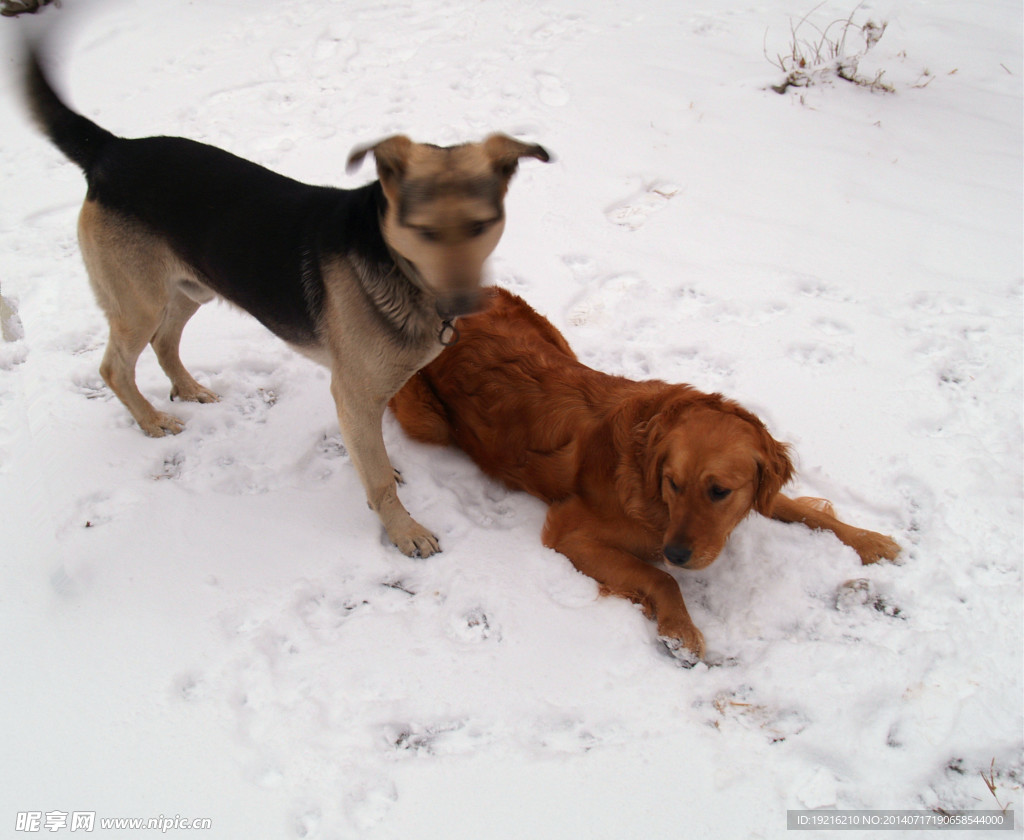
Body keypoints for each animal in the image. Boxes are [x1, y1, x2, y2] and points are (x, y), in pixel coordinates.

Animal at [19, 44, 548, 557]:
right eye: (424, 231)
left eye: (480, 225)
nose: (464, 302)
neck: (395, 262)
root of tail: (114, 149)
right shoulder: (354, 393)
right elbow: (377, 475)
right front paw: (404, 531)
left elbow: (372, 456)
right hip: (139, 302)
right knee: (114, 366)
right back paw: (151, 420)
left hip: (194, 286)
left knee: (165, 342)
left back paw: (189, 389)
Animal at [387, 288, 901, 663]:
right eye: (673, 483)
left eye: (719, 491)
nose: (676, 553)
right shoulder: (569, 532)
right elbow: (661, 579)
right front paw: (682, 632)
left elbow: (806, 510)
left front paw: (870, 540)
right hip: (427, 419)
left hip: (553, 337)